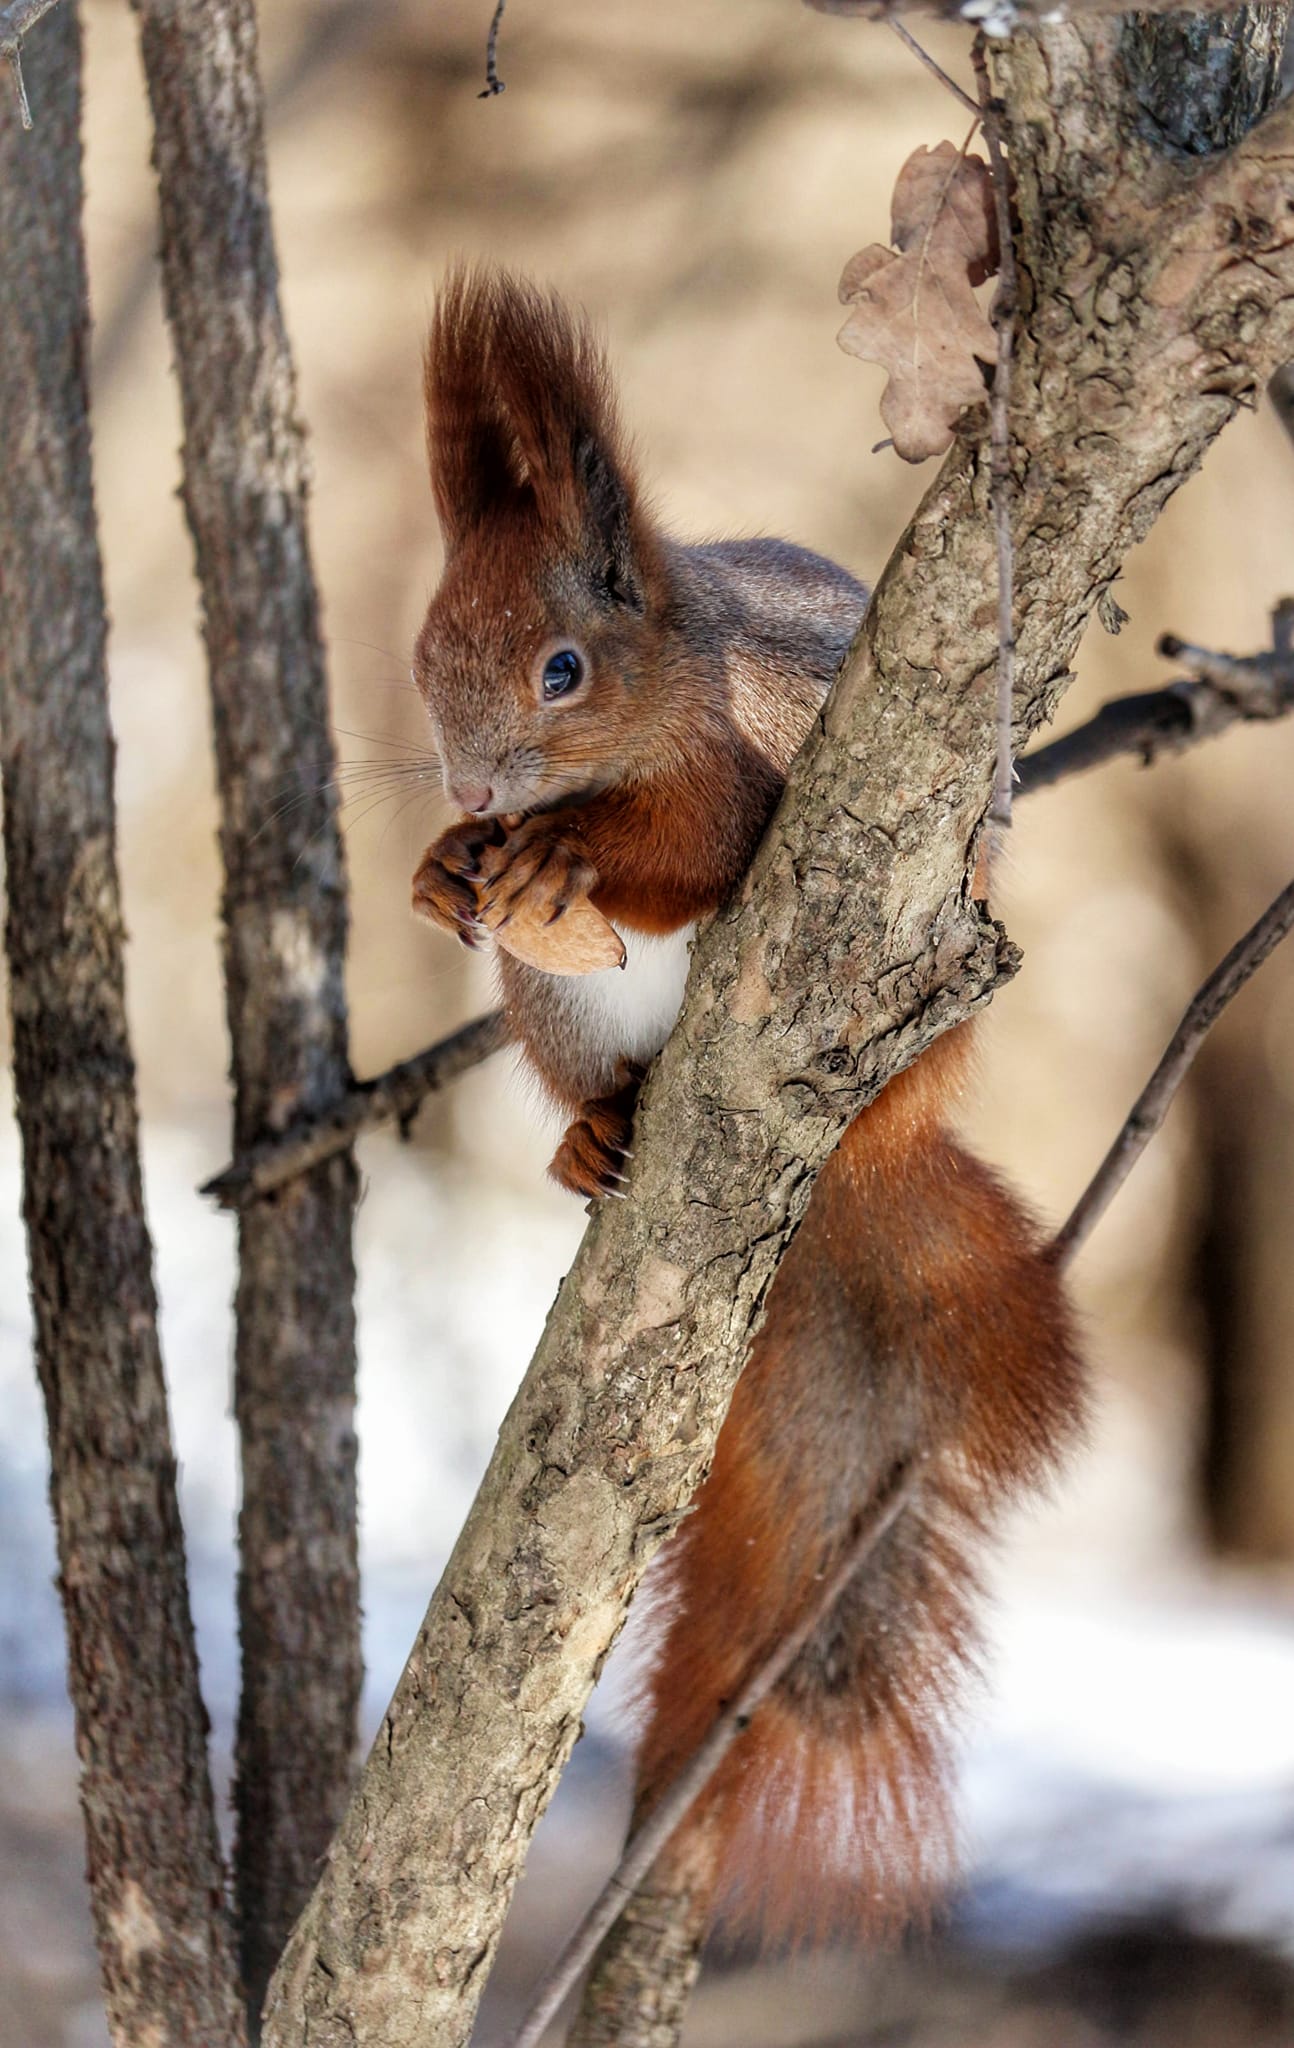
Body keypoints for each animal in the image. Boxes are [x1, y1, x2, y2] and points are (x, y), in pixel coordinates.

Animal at [409, 272, 1089, 1933]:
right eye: (422, 654)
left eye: (562, 669)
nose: (472, 796)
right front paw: (441, 873)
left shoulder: (741, 773)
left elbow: (697, 852)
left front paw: (561, 865)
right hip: (552, 1018)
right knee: (587, 1078)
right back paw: (591, 1130)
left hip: (920, 999)